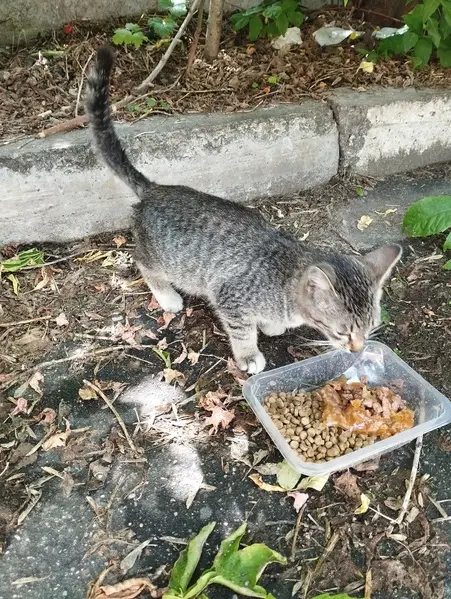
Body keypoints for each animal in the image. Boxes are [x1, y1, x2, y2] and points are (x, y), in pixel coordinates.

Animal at [85, 46, 402, 375]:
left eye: (370, 327)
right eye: (343, 332)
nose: (358, 349)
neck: (286, 279)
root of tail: (155, 189)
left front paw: (272, 325)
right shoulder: (231, 300)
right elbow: (242, 332)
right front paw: (249, 355)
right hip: (166, 260)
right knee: (142, 262)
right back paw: (167, 296)